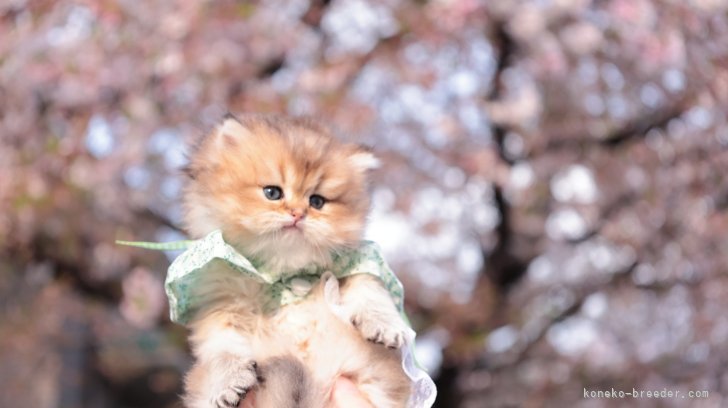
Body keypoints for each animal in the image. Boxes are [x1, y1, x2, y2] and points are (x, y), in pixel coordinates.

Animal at [180, 114, 412, 408]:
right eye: (272, 193)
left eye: (317, 201)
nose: (298, 214)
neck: (285, 273)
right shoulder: (221, 304)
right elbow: (222, 350)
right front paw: (228, 383)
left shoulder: (357, 264)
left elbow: (370, 290)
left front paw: (386, 326)